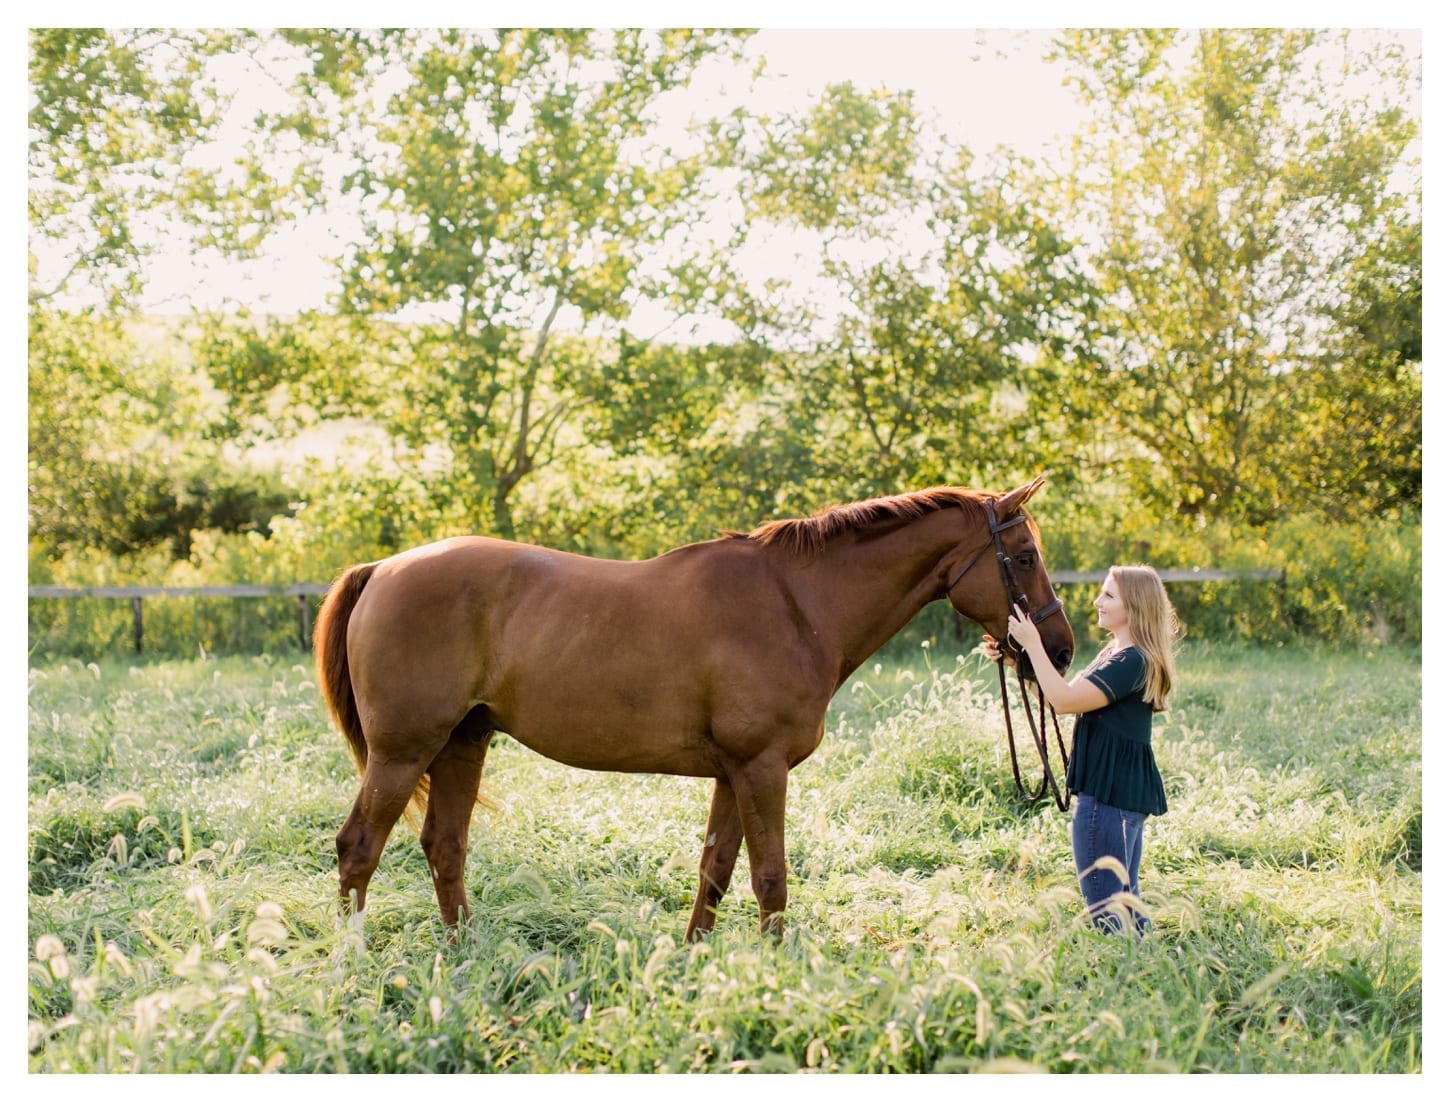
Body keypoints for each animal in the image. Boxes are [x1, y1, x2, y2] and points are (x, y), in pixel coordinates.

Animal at [317, 475, 1073, 939]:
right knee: (359, 850)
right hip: (402, 754)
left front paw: (695, 961)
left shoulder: (733, 774)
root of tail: (381, 570)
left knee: (444, 847)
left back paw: (466, 951)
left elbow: (716, 871)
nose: (1061, 651)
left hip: (461, 744)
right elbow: (770, 879)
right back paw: (354, 962)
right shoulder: (762, 769)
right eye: (1025, 557)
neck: (796, 605)